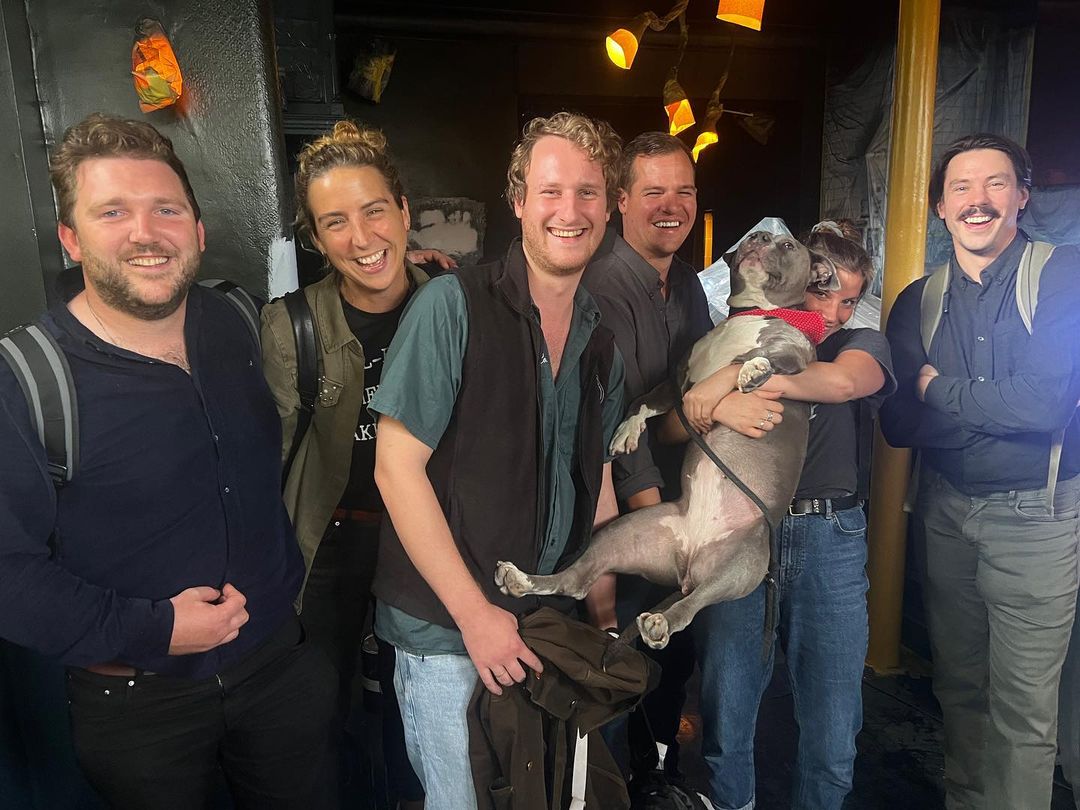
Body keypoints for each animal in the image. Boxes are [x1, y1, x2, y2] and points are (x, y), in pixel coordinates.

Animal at [494, 230, 839, 648]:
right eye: (759, 238)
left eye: (788, 245)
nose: (757, 236)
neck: (752, 314)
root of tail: (690, 558)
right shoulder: (678, 380)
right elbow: (644, 400)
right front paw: (627, 431)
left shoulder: (798, 356)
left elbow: (769, 358)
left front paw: (752, 369)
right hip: (625, 531)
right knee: (577, 580)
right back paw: (522, 579)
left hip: (741, 566)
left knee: (692, 605)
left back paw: (661, 621)